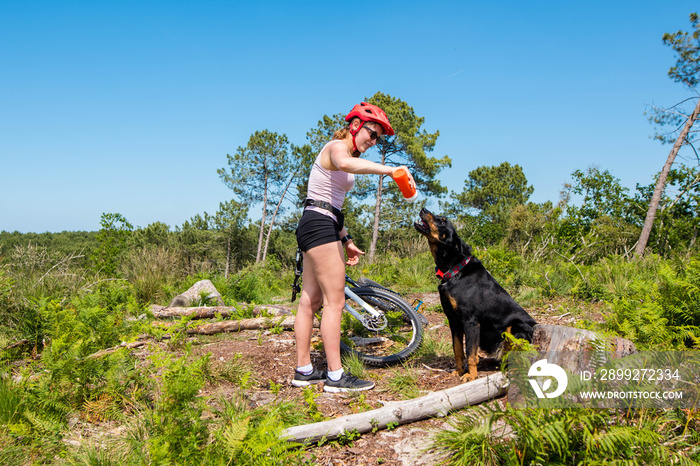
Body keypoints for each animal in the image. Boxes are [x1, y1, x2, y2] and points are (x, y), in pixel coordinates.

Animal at [412, 208, 532, 382]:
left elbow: (470, 352)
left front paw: (471, 375)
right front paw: (459, 371)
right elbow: (457, 350)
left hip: (515, 327)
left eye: (442, 220)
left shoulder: (471, 321)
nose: (423, 209)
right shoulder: (453, 321)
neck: (454, 270)